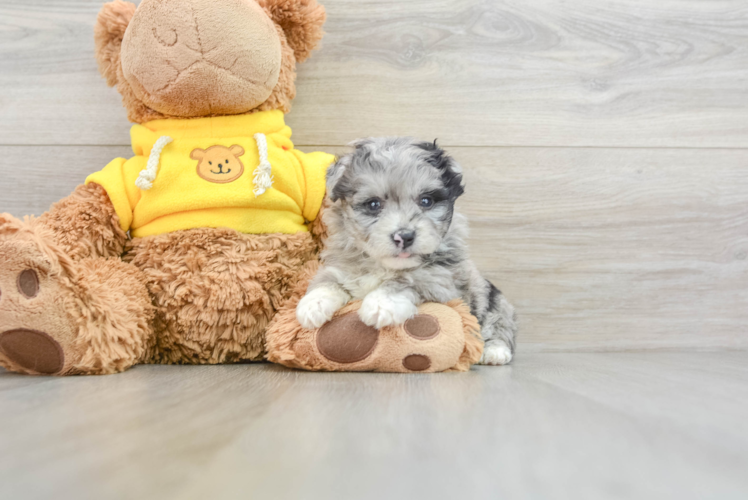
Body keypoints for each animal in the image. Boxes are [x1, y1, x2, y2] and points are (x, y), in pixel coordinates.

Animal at [296, 139, 516, 366]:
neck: (384, 266)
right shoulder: (340, 266)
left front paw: (381, 303)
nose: (404, 236)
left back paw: (494, 351)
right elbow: (327, 280)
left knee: (499, 327)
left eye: (426, 201)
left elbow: (410, 279)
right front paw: (313, 304)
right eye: (373, 204)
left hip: (495, 302)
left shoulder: (442, 281)